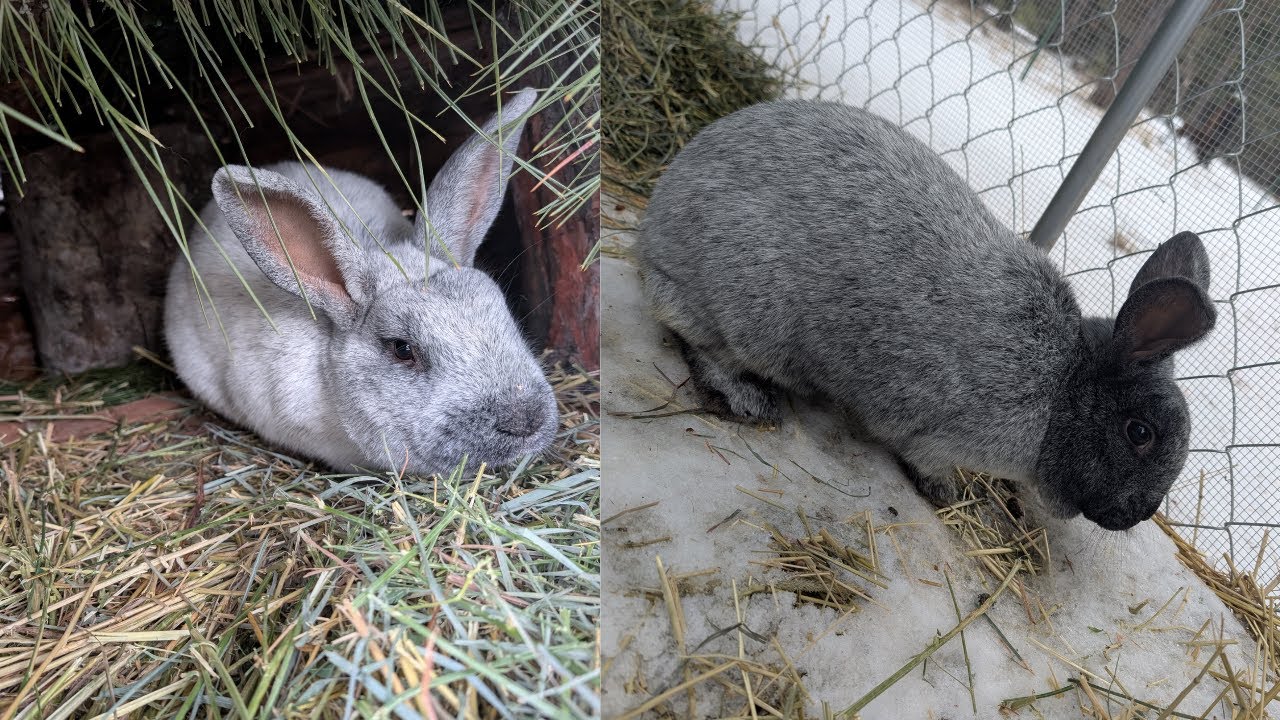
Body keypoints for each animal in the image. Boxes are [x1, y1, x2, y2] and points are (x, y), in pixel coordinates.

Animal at [637, 99, 1215, 531]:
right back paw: (750, 398)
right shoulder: (950, 437)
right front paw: (949, 494)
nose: (1138, 514)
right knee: (700, 342)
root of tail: (653, 236)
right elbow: (927, 460)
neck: (1062, 389)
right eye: (1139, 433)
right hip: (747, 311)